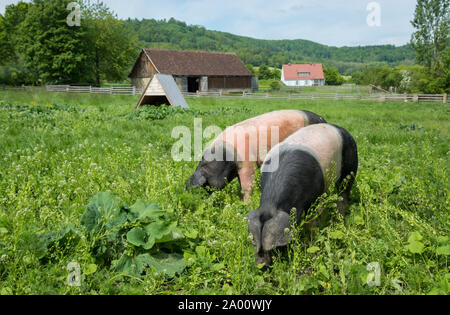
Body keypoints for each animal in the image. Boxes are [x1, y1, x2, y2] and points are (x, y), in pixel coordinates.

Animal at [185, 110, 326, 202]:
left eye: (206, 184)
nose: (206, 202)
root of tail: (323, 120)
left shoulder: (247, 164)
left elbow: (247, 186)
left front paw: (245, 203)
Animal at [248, 123, 356, 266]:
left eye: (273, 247)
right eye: (256, 243)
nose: (260, 264)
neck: (271, 204)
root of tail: (342, 130)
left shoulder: (315, 196)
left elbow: (312, 220)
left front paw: (312, 241)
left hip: (351, 165)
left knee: (344, 194)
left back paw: (340, 220)